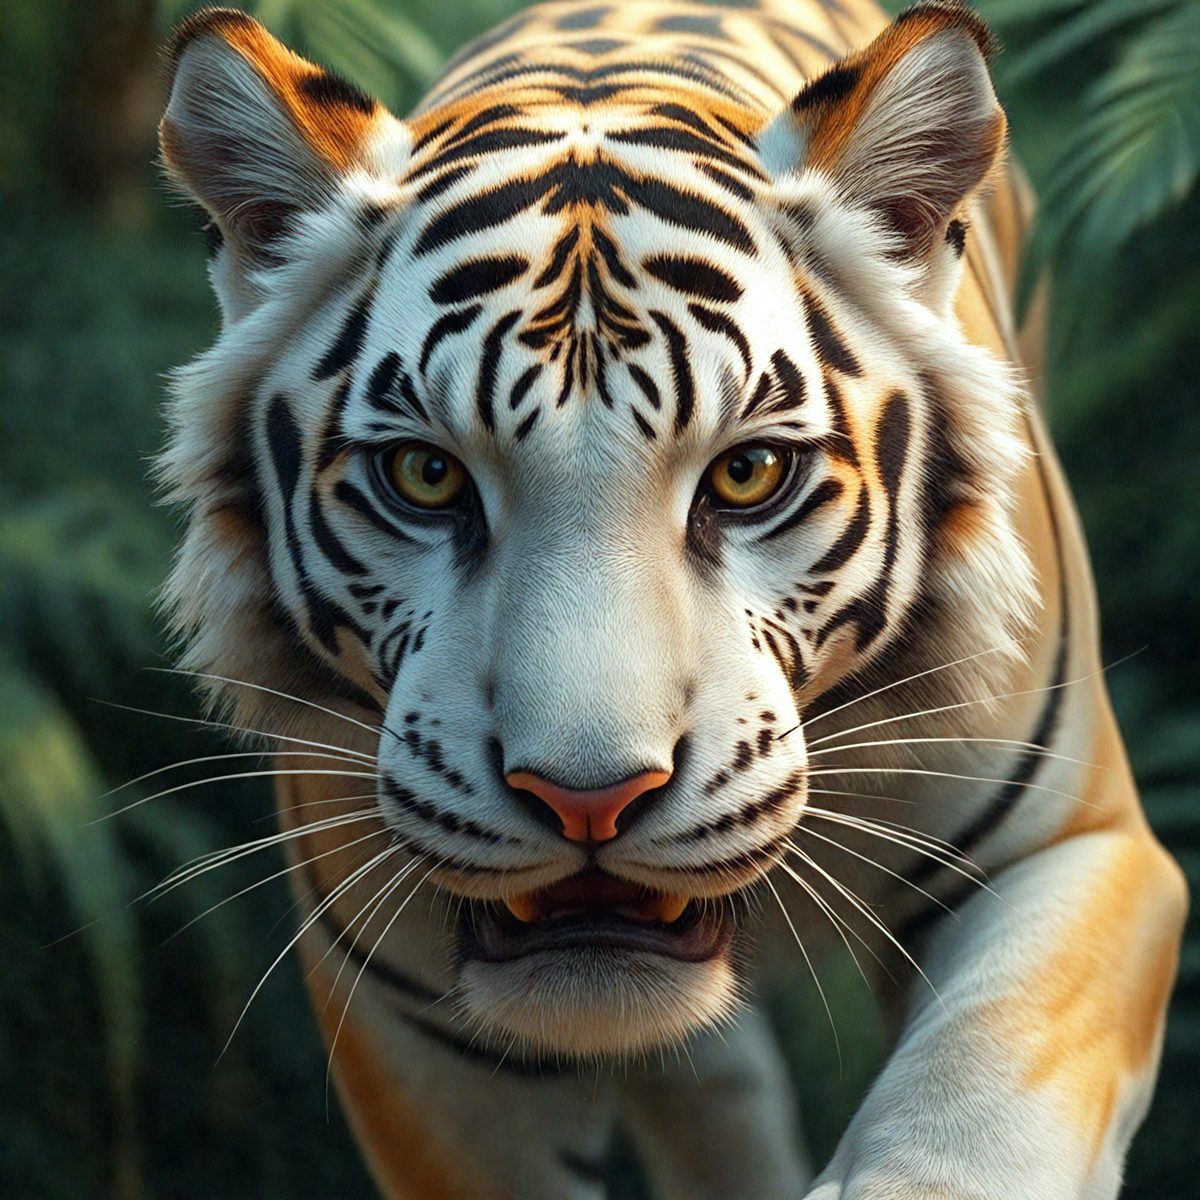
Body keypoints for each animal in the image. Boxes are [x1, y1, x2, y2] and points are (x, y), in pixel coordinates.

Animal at [156, 0, 1186, 1196]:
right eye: (423, 475)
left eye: (748, 474)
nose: (588, 800)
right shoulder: (403, 1012)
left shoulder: (1076, 845)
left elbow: (976, 1099)